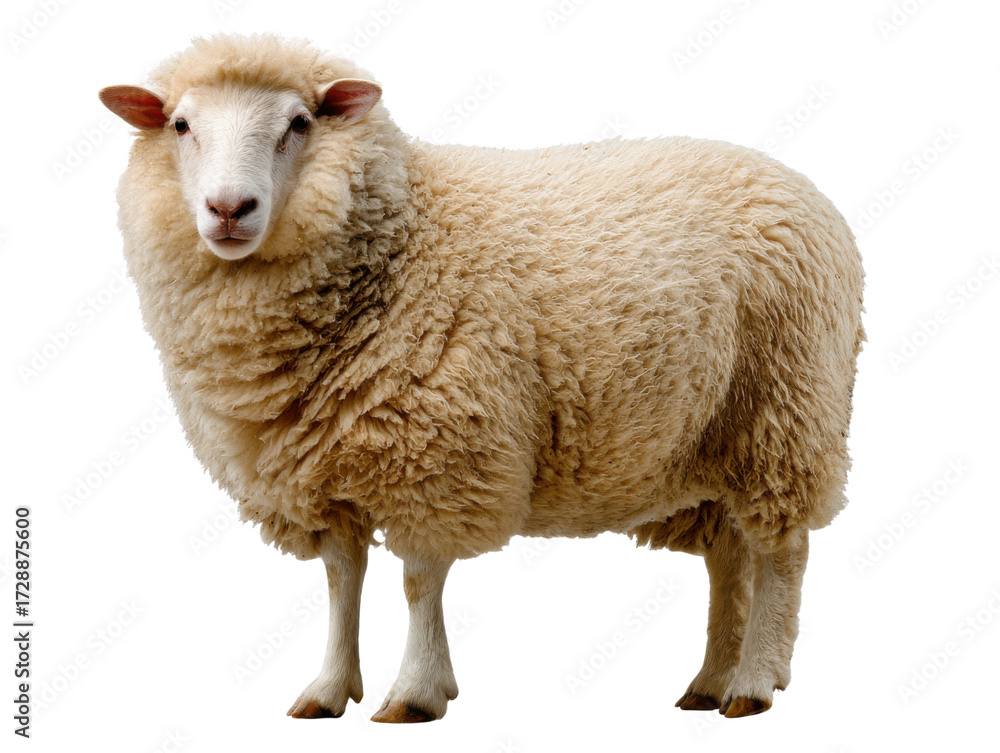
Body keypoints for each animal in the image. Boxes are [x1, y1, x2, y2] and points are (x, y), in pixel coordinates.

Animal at [99, 33, 864, 722]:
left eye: (298, 123)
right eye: (180, 125)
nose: (229, 210)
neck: (404, 235)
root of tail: (797, 183)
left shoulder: (435, 456)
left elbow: (417, 582)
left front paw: (415, 691)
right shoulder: (328, 469)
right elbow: (342, 581)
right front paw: (329, 688)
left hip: (785, 410)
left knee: (781, 551)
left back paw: (754, 682)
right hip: (711, 442)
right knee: (730, 558)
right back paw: (709, 681)